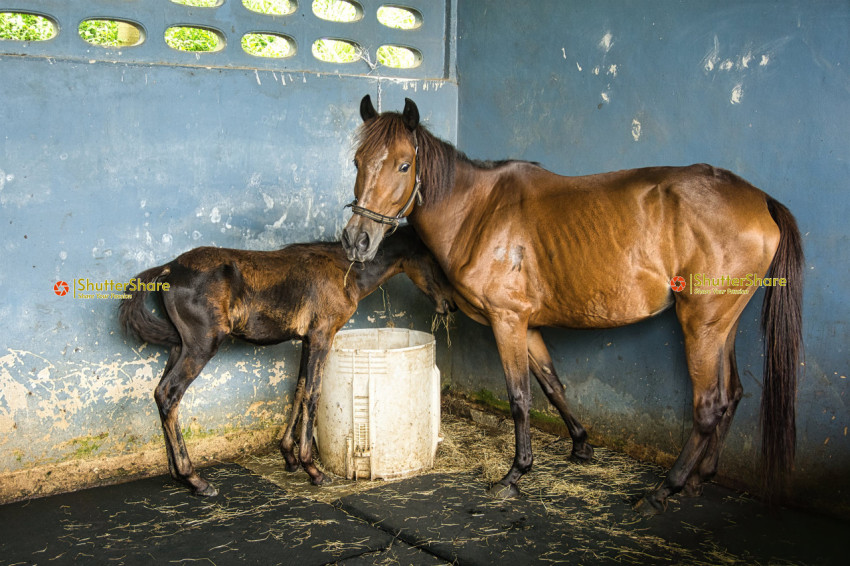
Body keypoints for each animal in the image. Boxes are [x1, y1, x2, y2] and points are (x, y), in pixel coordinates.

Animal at [119, 225, 456, 496]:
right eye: (434, 261)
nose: (450, 304)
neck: (344, 271)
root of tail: (168, 269)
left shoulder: (307, 340)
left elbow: (299, 388)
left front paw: (290, 457)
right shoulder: (322, 336)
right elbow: (312, 394)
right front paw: (313, 469)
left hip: (180, 346)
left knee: (161, 394)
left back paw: (177, 474)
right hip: (200, 346)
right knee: (170, 394)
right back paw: (195, 479)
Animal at [341, 95, 803, 515]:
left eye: (404, 165)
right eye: (358, 162)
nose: (356, 240)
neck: (478, 212)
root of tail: (759, 199)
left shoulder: (507, 321)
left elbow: (519, 397)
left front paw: (515, 474)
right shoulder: (526, 325)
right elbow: (552, 384)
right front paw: (580, 444)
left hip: (701, 324)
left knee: (708, 407)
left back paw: (663, 490)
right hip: (723, 324)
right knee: (732, 396)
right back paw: (697, 480)